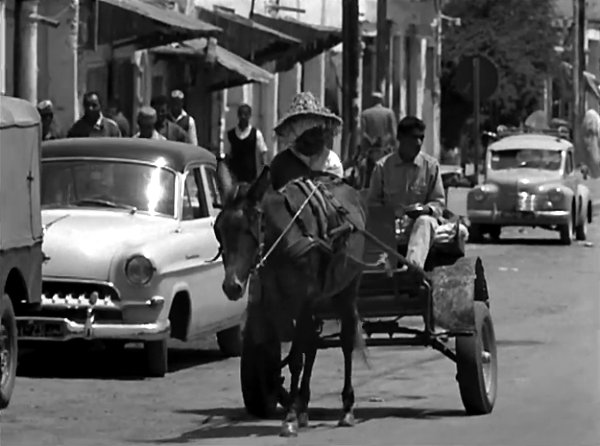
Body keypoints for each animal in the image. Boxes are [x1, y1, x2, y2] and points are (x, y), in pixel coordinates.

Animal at [211, 160, 370, 436]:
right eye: (218, 229)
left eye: (250, 228)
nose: (232, 286)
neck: (283, 238)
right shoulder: (276, 302)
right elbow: (283, 350)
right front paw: (292, 405)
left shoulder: (304, 300)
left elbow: (297, 358)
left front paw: (291, 416)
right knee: (313, 344)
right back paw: (304, 403)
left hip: (347, 289)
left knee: (346, 341)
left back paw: (346, 408)